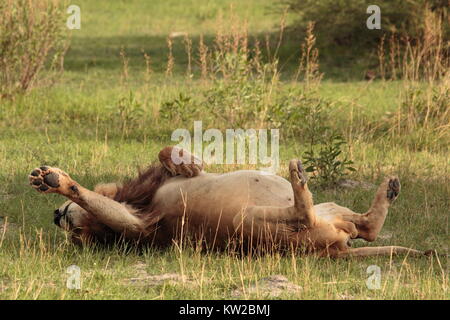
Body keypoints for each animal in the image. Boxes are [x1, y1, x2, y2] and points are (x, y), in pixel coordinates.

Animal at [29, 146, 432, 258]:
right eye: (77, 236)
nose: (56, 216)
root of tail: (335, 250)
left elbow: (167, 154)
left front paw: (187, 160)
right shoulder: (143, 224)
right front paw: (55, 181)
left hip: (331, 208)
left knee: (368, 227)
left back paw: (389, 189)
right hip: (256, 220)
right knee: (303, 214)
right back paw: (298, 176)